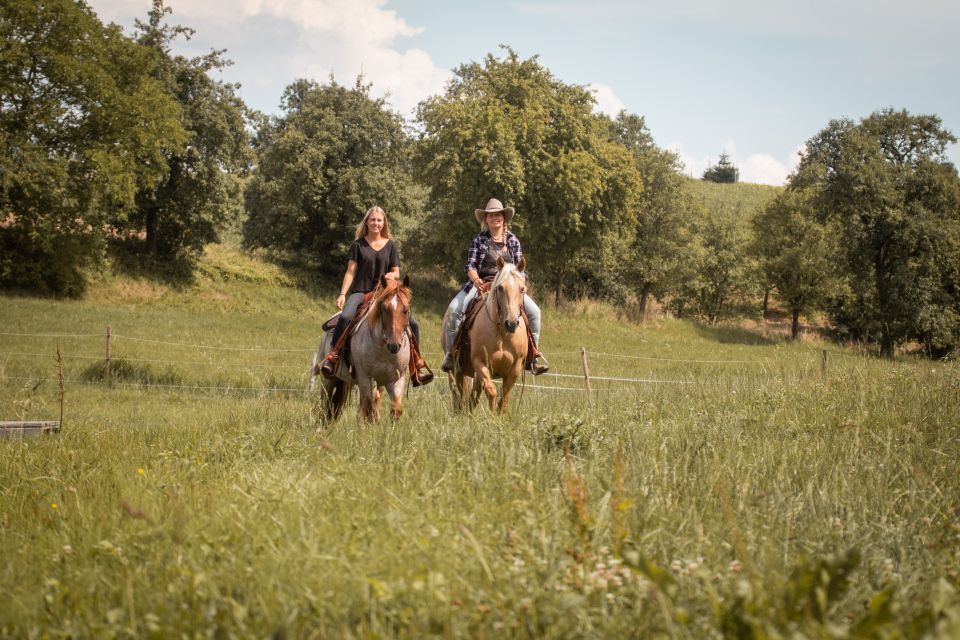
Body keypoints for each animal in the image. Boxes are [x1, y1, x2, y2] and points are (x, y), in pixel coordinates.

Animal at [316, 274, 410, 420]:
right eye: (384, 308)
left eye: (405, 310)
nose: (394, 345)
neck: (383, 351)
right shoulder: (365, 376)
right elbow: (368, 409)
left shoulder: (396, 379)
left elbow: (395, 410)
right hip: (328, 380)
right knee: (325, 403)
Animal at [440, 256, 528, 416]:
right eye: (500, 288)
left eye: (522, 289)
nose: (511, 323)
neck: (502, 334)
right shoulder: (480, 362)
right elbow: (491, 390)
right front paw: (492, 416)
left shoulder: (515, 366)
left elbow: (505, 394)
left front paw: (501, 415)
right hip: (457, 366)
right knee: (458, 390)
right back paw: (460, 412)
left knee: (473, 392)